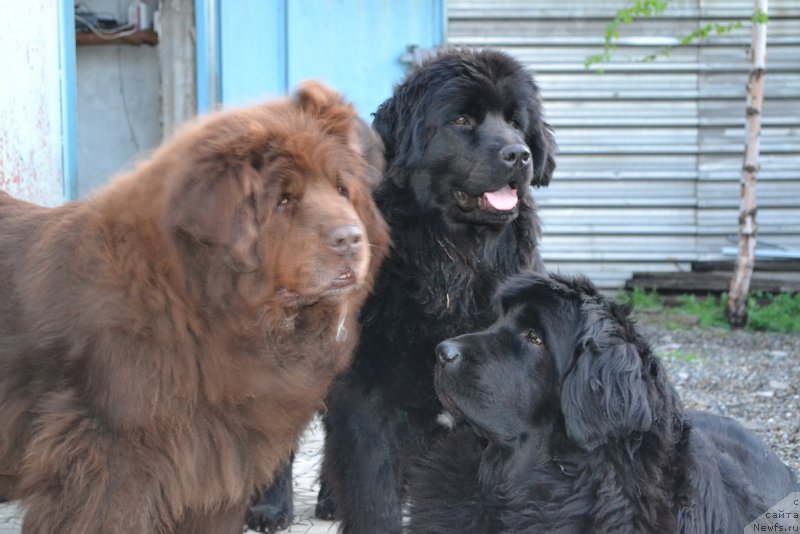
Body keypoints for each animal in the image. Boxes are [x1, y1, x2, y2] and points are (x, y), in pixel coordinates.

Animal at [0, 81, 390, 532]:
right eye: (283, 201)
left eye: (342, 190)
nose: (351, 239)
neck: (203, 309)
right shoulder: (110, 460)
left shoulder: (216, 463)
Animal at [312, 48, 556, 532]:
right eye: (462, 119)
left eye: (516, 122)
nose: (519, 155)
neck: (456, 262)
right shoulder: (369, 396)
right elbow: (374, 495)